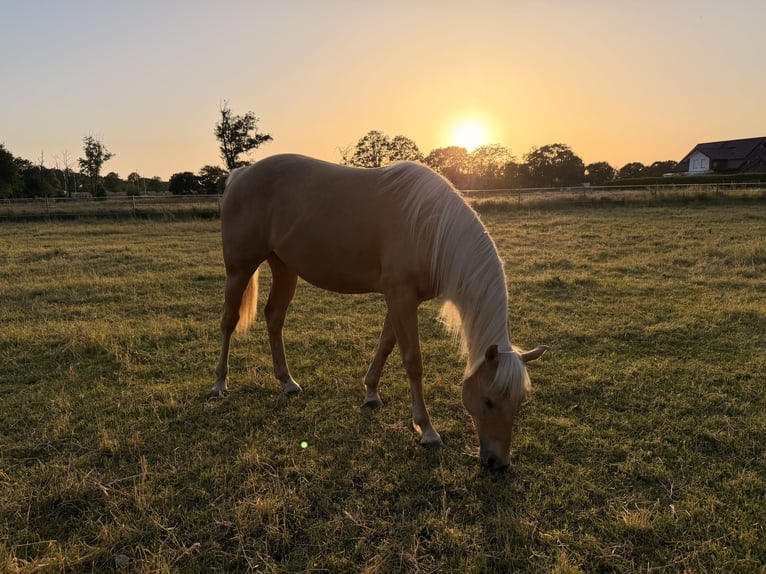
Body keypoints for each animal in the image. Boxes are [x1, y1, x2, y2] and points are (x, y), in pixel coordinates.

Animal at [211, 154, 548, 470]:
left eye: (519, 401)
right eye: (489, 401)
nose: (498, 463)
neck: (429, 226)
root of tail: (241, 174)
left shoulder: (401, 299)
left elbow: (386, 345)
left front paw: (371, 394)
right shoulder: (401, 296)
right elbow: (413, 361)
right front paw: (427, 430)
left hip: (284, 267)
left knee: (274, 317)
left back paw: (287, 382)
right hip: (239, 268)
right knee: (229, 321)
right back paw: (219, 385)